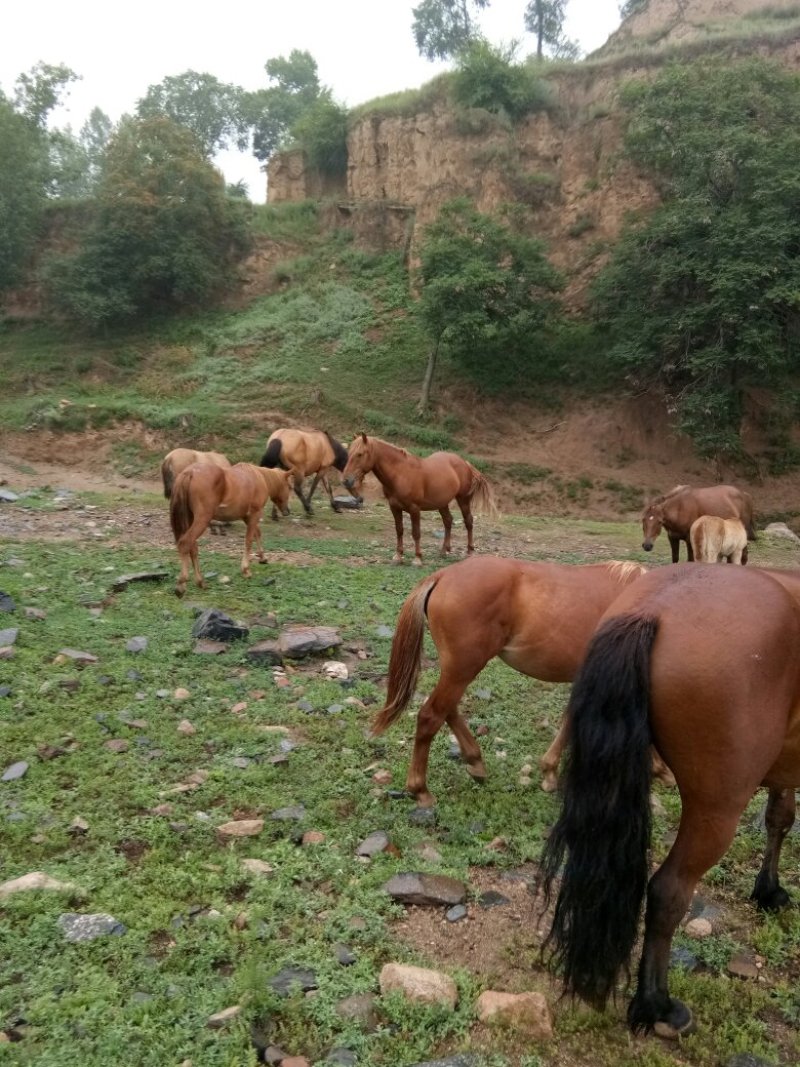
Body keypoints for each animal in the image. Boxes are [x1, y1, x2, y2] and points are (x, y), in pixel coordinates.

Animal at [169, 463, 293, 597]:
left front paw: (262, 557)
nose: (287, 511)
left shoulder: (247, 517)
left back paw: (200, 582)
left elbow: (257, 534)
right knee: (185, 543)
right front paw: (246, 570)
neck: (259, 477)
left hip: (191, 519)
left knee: (193, 547)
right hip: (202, 519)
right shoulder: (254, 514)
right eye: (290, 487)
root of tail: (190, 472)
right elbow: (249, 540)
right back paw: (182, 584)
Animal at [342, 434, 497, 565]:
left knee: (468, 521)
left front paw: (417, 558)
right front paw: (398, 556)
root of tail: (465, 463)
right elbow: (399, 530)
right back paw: (444, 551)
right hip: (442, 503)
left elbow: (416, 533)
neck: (401, 474)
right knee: (448, 521)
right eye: (349, 453)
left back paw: (470, 551)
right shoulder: (394, 507)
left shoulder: (414, 509)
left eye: (360, 454)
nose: (346, 480)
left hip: (463, 500)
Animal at [371, 555, 675, 806]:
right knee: (430, 716)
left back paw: (475, 761)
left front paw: (549, 771)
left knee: (448, 710)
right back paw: (420, 789)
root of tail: (443, 575)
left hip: (457, 669)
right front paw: (661, 769)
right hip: (462, 668)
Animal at [539, 564, 800, 1038]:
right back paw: (655, 1005)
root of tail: (652, 609)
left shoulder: (786, 766)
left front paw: (768, 889)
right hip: (716, 809)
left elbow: (779, 817)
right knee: (668, 891)